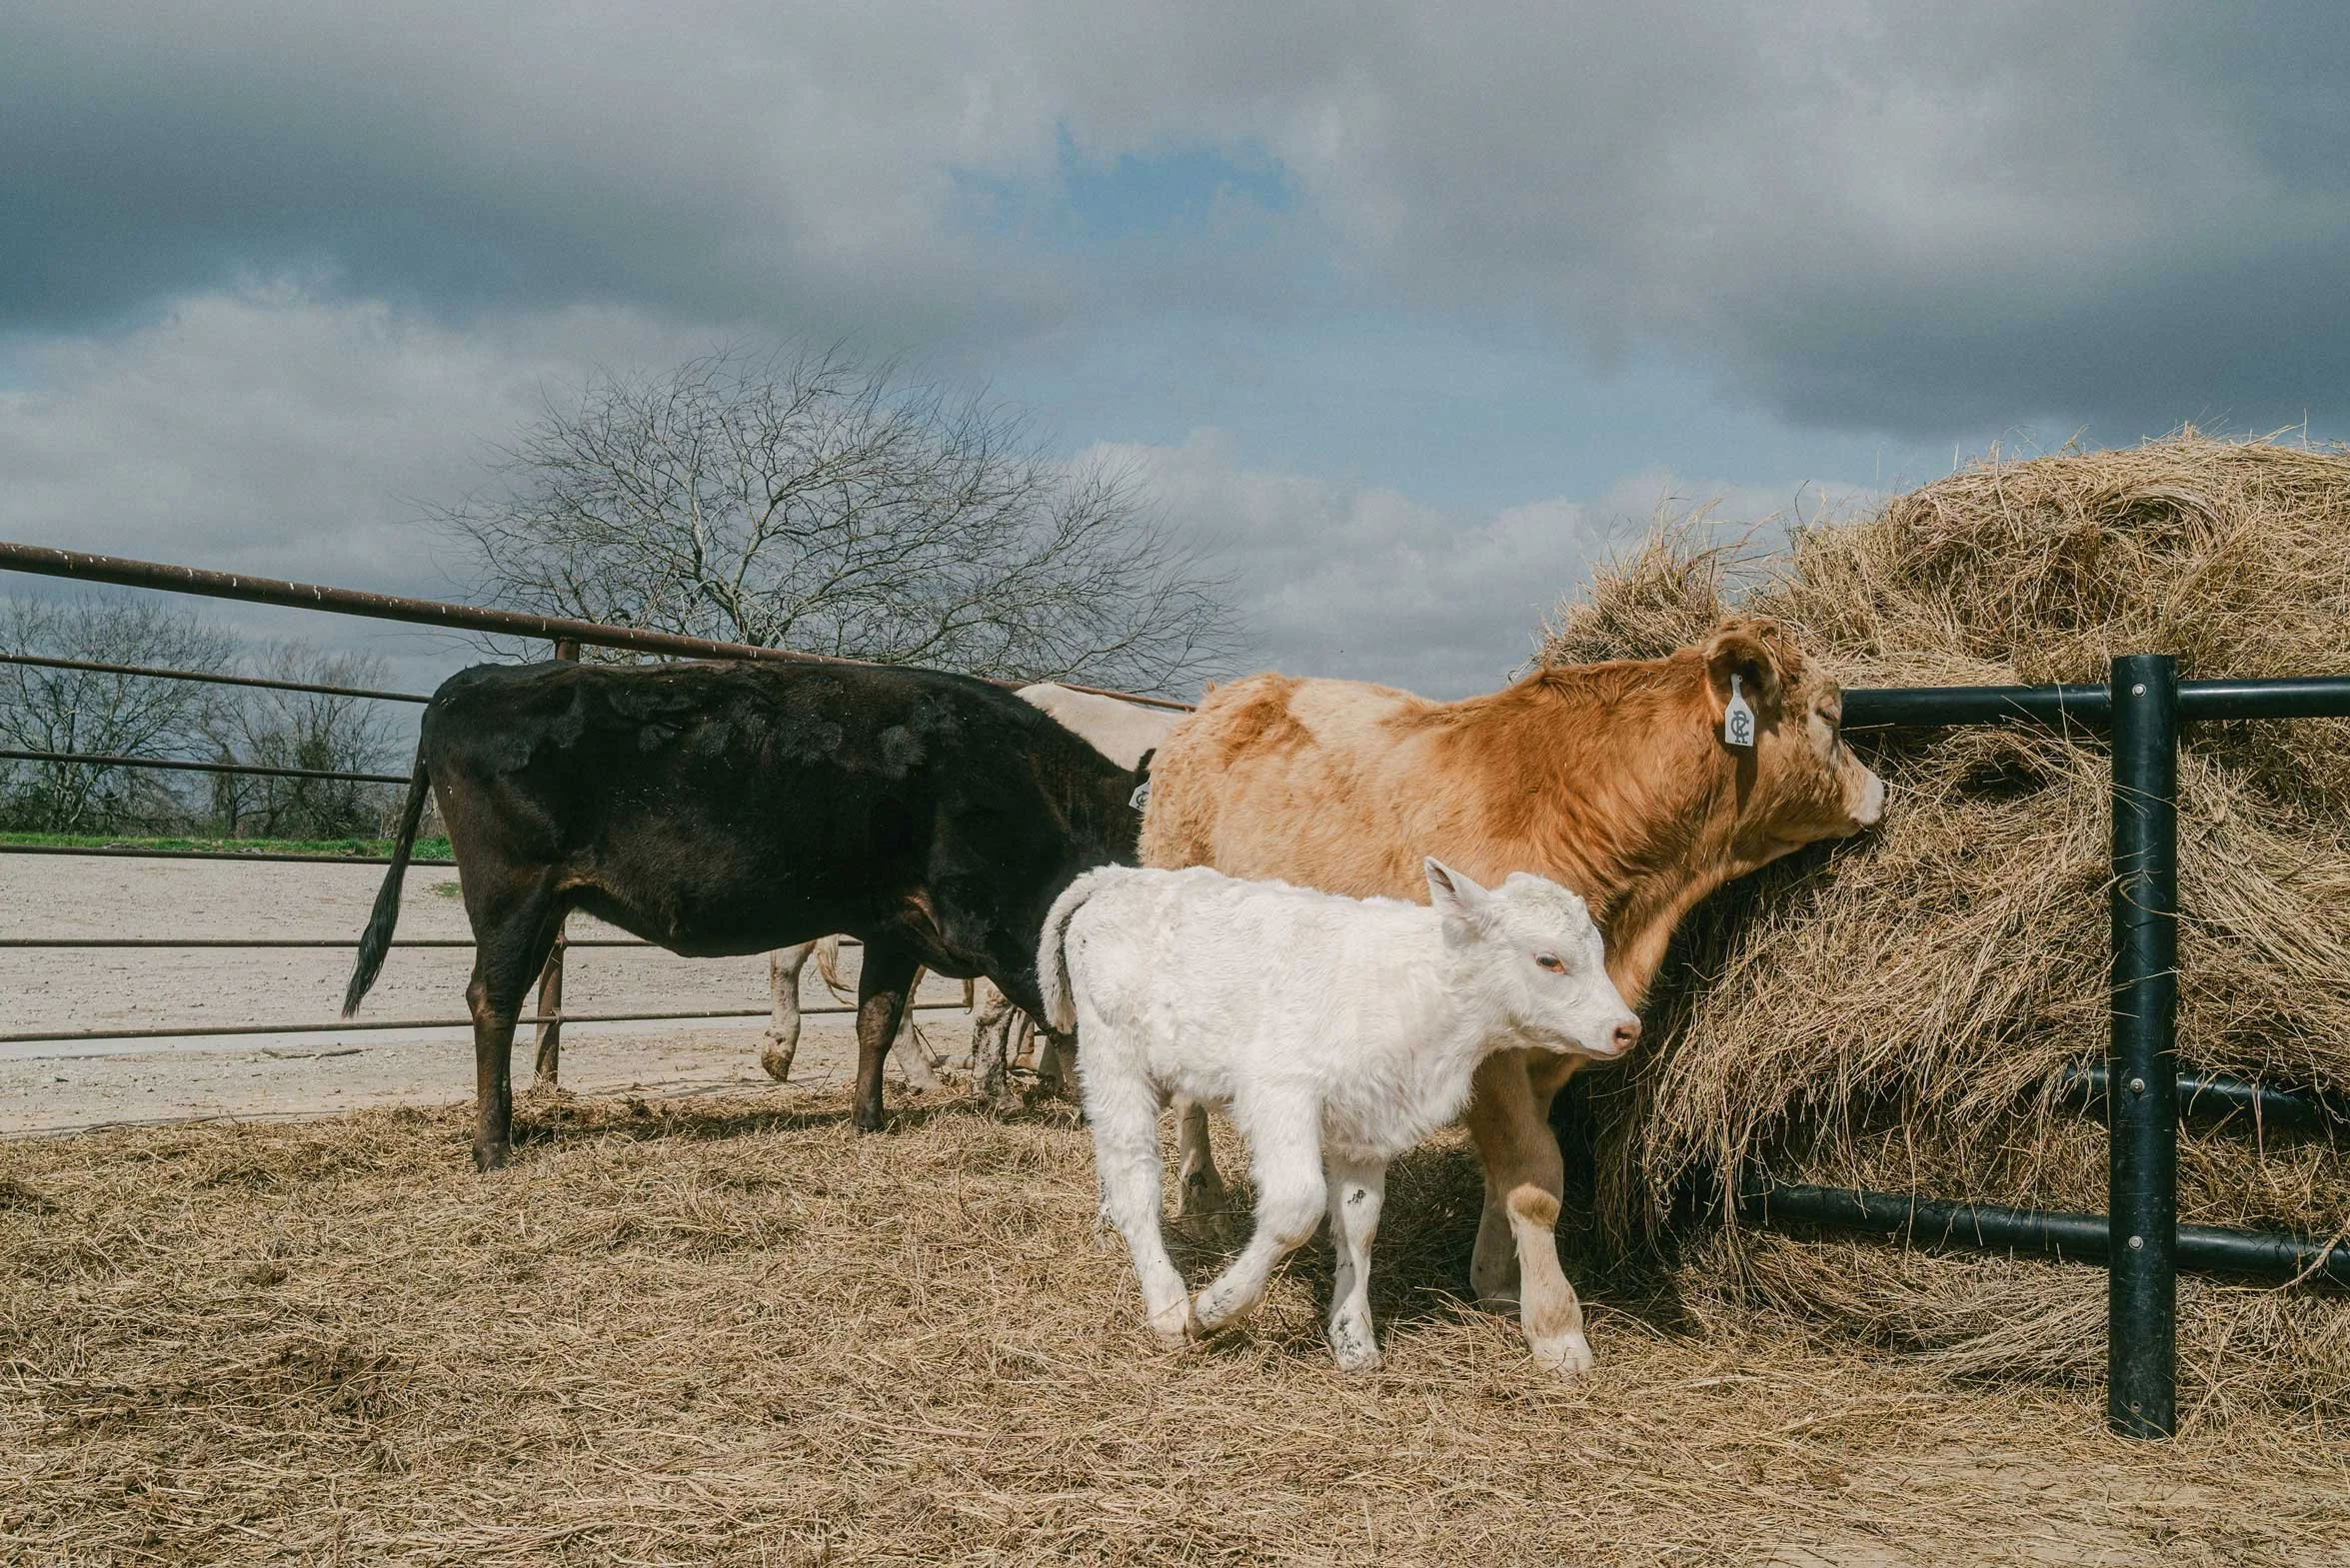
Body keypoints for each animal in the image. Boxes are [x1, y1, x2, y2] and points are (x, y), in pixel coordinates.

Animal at [342, 658, 1148, 1170]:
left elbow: (877, 1018)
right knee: (493, 999)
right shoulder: (993, 923)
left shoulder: (895, 926)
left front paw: (868, 1119)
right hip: (514, 895)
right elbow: (1060, 1014)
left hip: (539, 906)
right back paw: (492, 1145)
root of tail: (472, 682)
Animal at [1041, 859, 1637, 1369]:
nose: (1627, 1028)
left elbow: (1359, 1222)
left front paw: (1353, 1337)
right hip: (1113, 1055)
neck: (1424, 990)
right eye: (1549, 959)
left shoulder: (1364, 1122)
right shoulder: (1280, 1092)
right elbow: (1297, 1208)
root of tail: (1115, 877)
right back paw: (1168, 1305)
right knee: (1134, 1174)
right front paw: (1217, 1307)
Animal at [1138, 617, 1884, 1372]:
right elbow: (1532, 1174)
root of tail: (1222, 698)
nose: (1879, 788)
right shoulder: (1488, 1050)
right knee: (1188, 1094)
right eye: (1830, 715)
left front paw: (1497, 1278)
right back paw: (1200, 1195)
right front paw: (1555, 1324)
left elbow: (1512, 1168)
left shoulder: (1551, 1049)